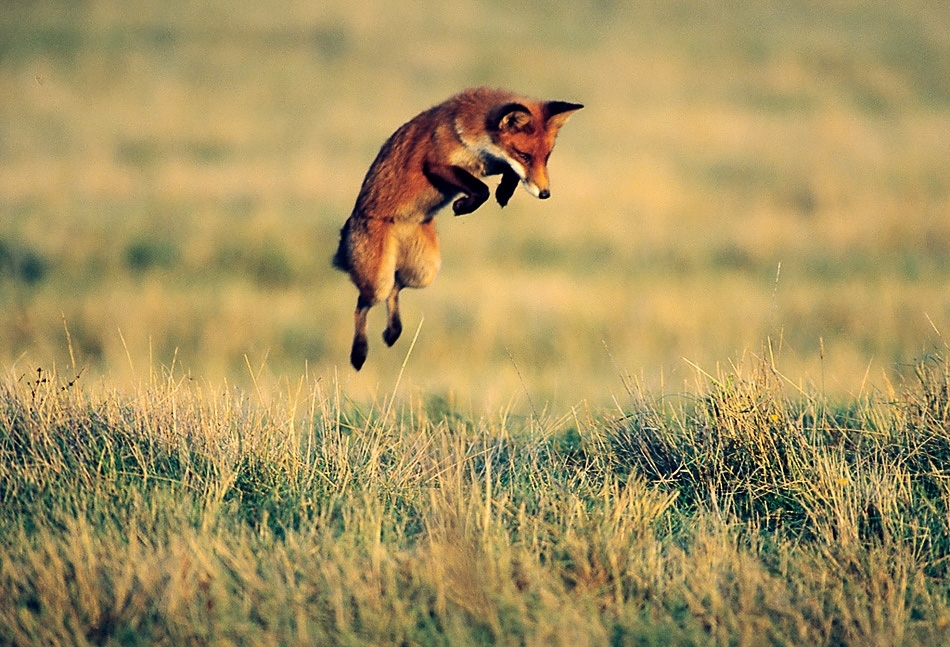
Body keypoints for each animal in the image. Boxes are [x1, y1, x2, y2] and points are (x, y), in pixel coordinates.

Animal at [333, 87, 583, 370]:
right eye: (525, 156)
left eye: (546, 157)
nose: (545, 194)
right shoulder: (437, 164)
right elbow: (481, 189)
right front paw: (466, 204)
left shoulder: (489, 165)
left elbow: (504, 176)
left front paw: (503, 192)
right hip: (378, 279)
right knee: (363, 303)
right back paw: (359, 352)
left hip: (424, 271)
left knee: (396, 286)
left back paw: (393, 331)